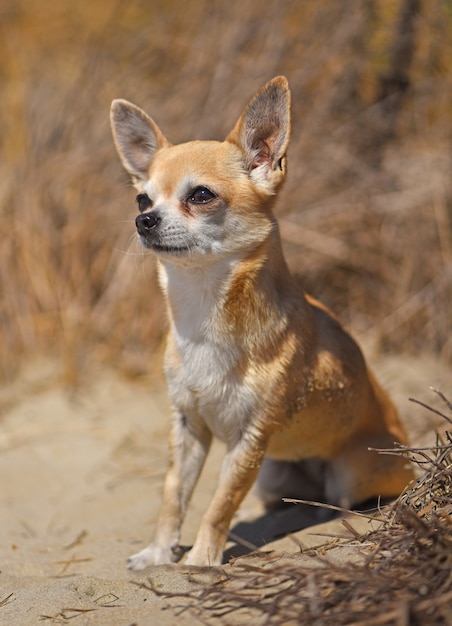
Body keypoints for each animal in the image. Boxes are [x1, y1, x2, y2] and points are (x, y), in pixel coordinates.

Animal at [109, 74, 414, 564]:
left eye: (200, 195)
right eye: (142, 198)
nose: (144, 220)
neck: (203, 313)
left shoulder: (250, 439)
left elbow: (220, 503)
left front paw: (201, 561)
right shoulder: (187, 426)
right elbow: (173, 495)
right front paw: (158, 553)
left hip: (348, 472)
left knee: (345, 499)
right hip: (274, 472)